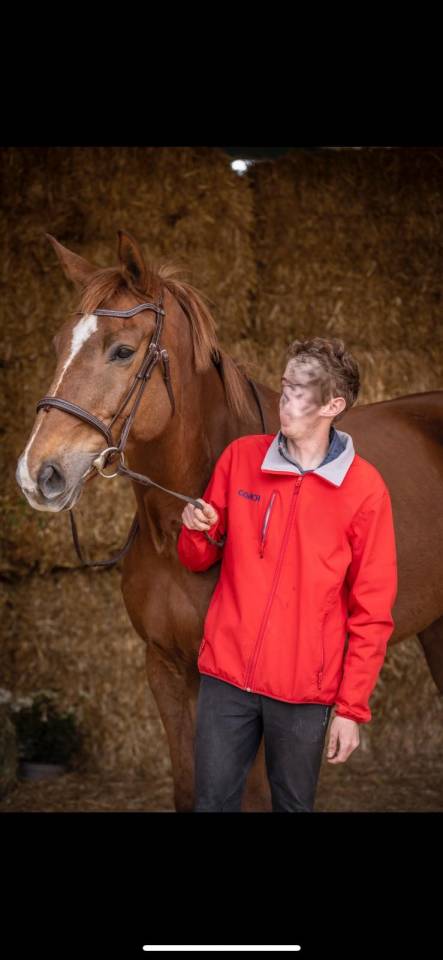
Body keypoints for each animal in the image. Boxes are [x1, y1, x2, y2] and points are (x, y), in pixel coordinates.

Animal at [15, 230, 443, 812]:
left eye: (122, 351)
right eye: (60, 344)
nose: (38, 473)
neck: (172, 533)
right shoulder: (168, 671)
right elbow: (189, 789)